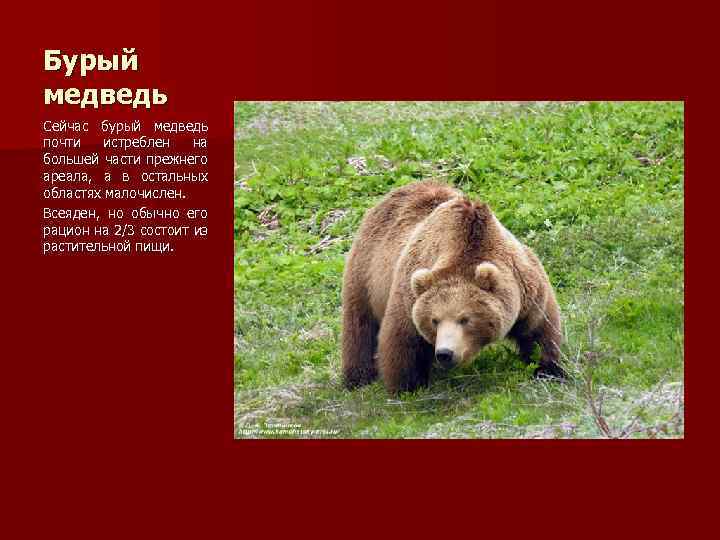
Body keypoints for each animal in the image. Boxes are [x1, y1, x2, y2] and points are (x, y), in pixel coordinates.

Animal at [341, 180, 564, 394]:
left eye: (465, 319)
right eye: (434, 320)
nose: (445, 353)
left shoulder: (525, 286)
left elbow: (540, 329)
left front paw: (548, 370)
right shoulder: (409, 295)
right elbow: (403, 340)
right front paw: (407, 387)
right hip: (366, 272)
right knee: (359, 325)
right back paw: (357, 378)